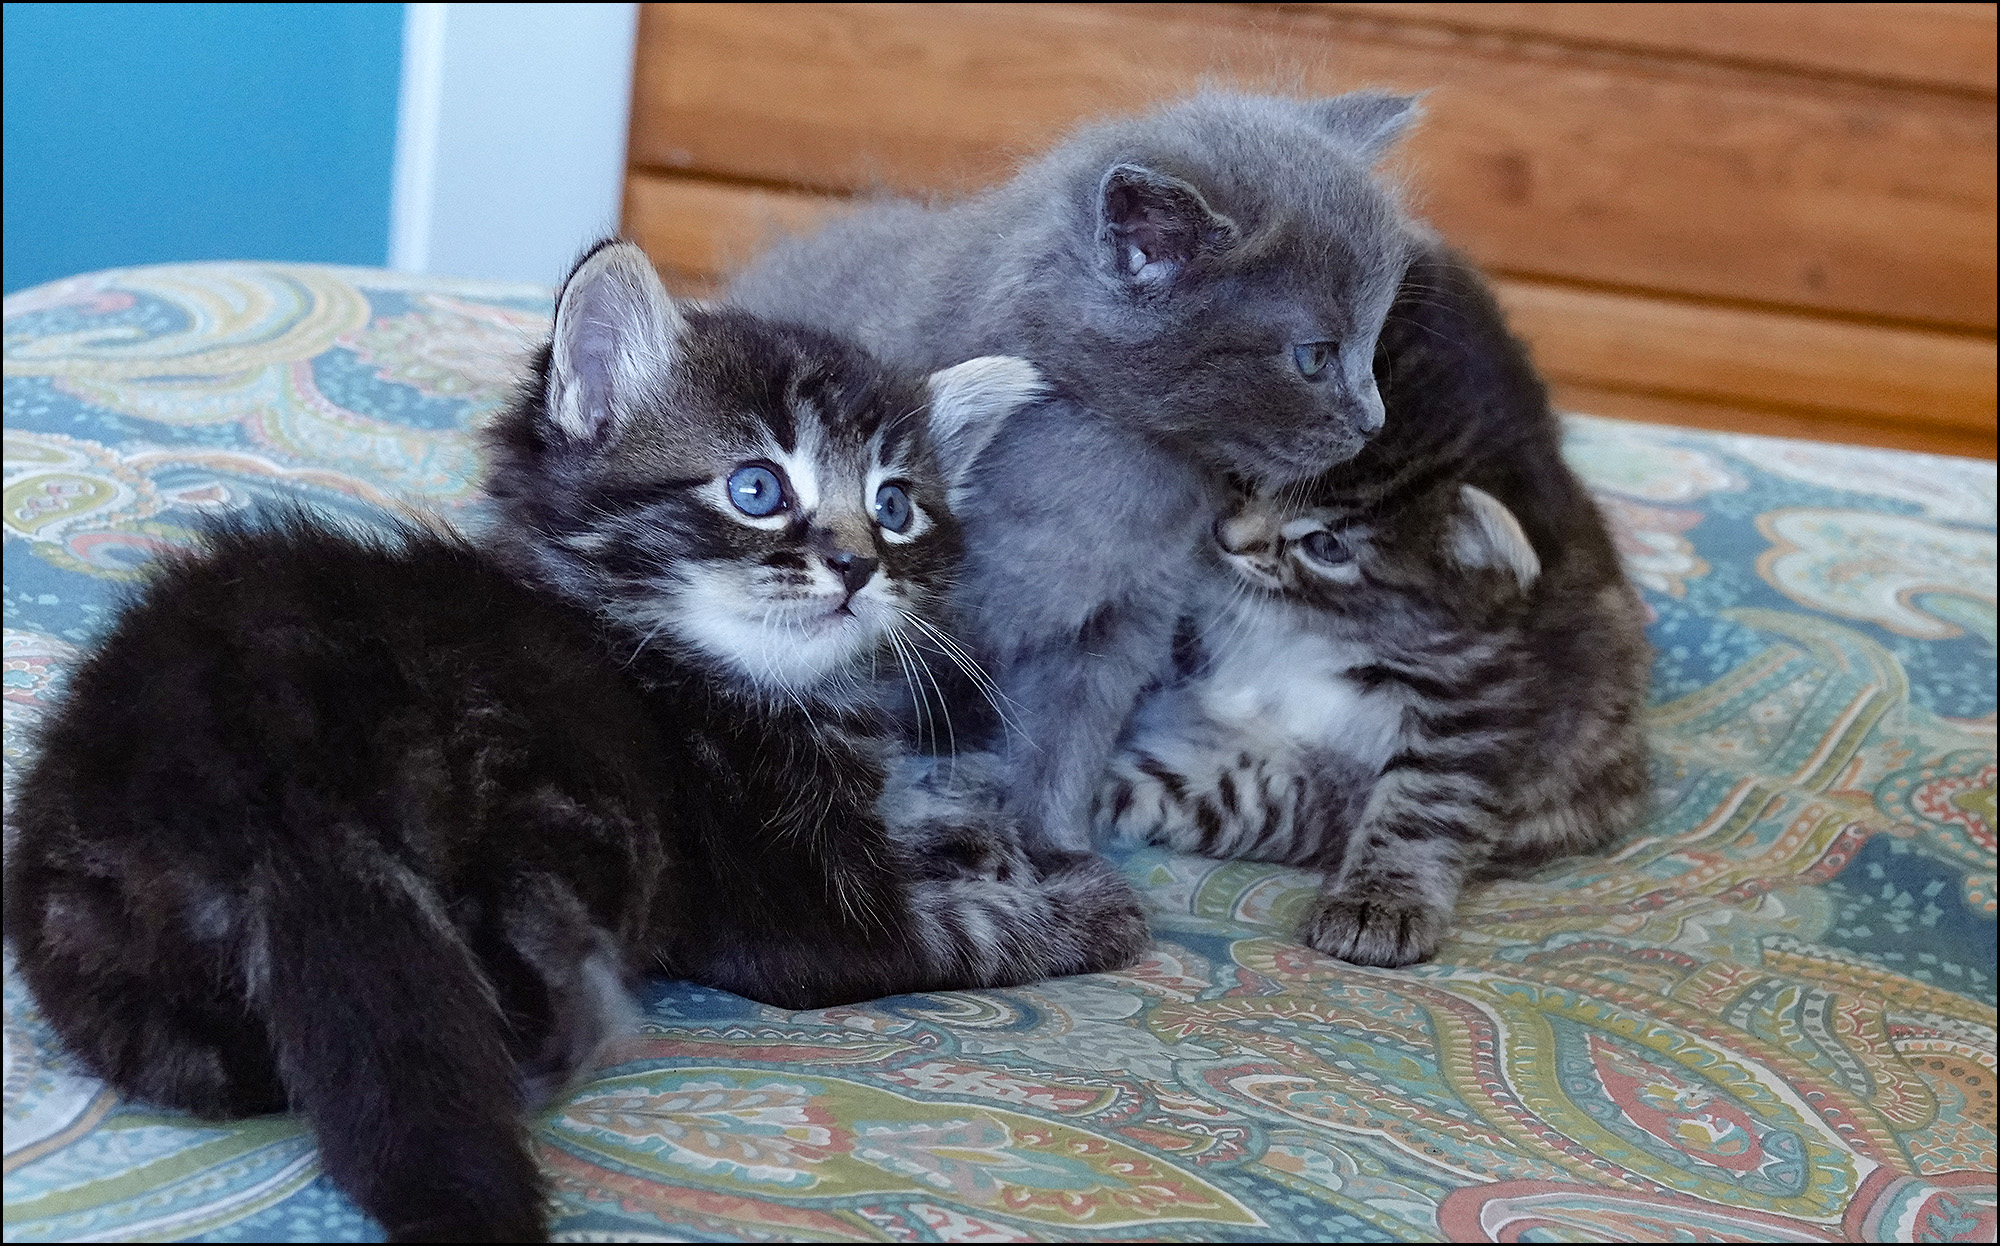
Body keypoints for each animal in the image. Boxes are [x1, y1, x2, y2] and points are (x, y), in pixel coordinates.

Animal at [3, 240, 1149, 1243]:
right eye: (757, 489)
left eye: (896, 506)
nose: (859, 565)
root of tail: (268, 765)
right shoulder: (797, 917)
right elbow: (961, 931)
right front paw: (1084, 905)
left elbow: (907, 820)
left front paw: (983, 834)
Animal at [728, 90, 1426, 856]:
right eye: (1314, 357)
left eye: (1373, 343)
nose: (1373, 420)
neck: (1106, 478)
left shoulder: (1122, 618)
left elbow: (1069, 746)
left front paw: (1056, 847)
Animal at [1098, 244, 1652, 968]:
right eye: (1251, 472)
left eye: (1327, 545)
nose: (1228, 538)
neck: (1312, 624)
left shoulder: (1483, 692)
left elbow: (1426, 802)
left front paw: (1380, 904)